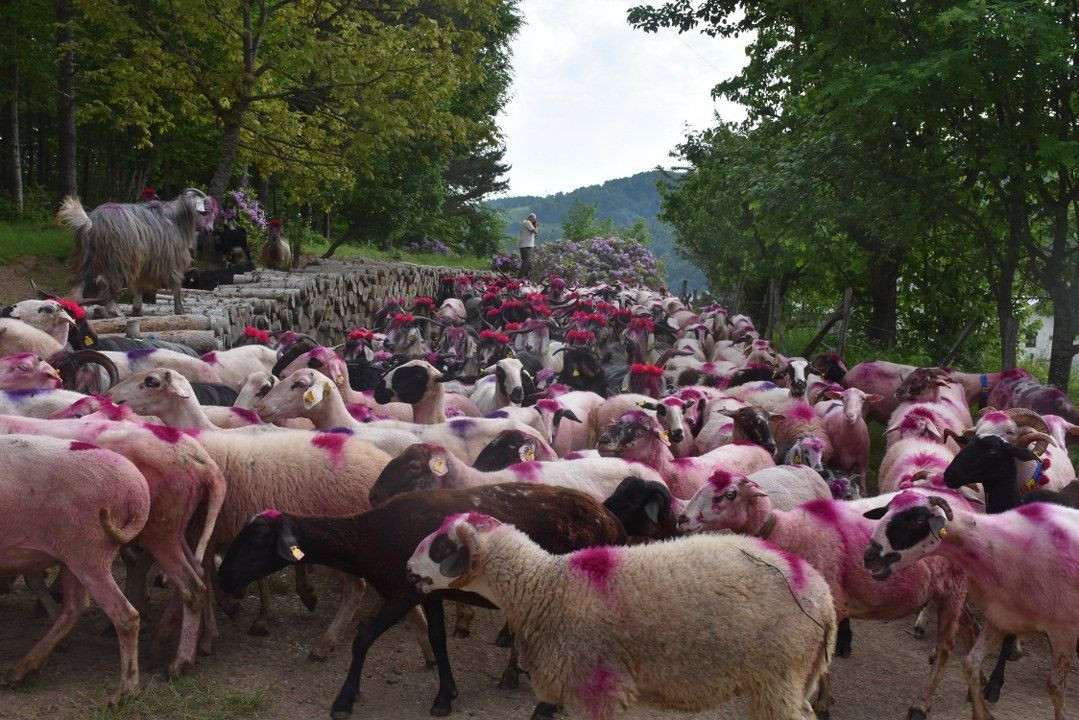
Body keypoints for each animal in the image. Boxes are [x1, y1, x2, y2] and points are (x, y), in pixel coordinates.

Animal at [58, 187, 216, 317]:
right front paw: (180, 310)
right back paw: (115, 310)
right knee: (105, 283)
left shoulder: (144, 263)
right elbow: (176, 285)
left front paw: (137, 310)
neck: (177, 220)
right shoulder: (172, 261)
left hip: (85, 256)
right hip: (117, 260)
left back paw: (75, 308)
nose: (210, 230)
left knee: (78, 283)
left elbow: (139, 286)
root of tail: (93, 223)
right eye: (207, 211)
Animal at [405, 511, 832, 720]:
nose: (407, 569)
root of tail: (821, 591)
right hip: (790, 679)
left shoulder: (602, 686)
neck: (547, 586)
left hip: (779, 674)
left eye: (442, 547)